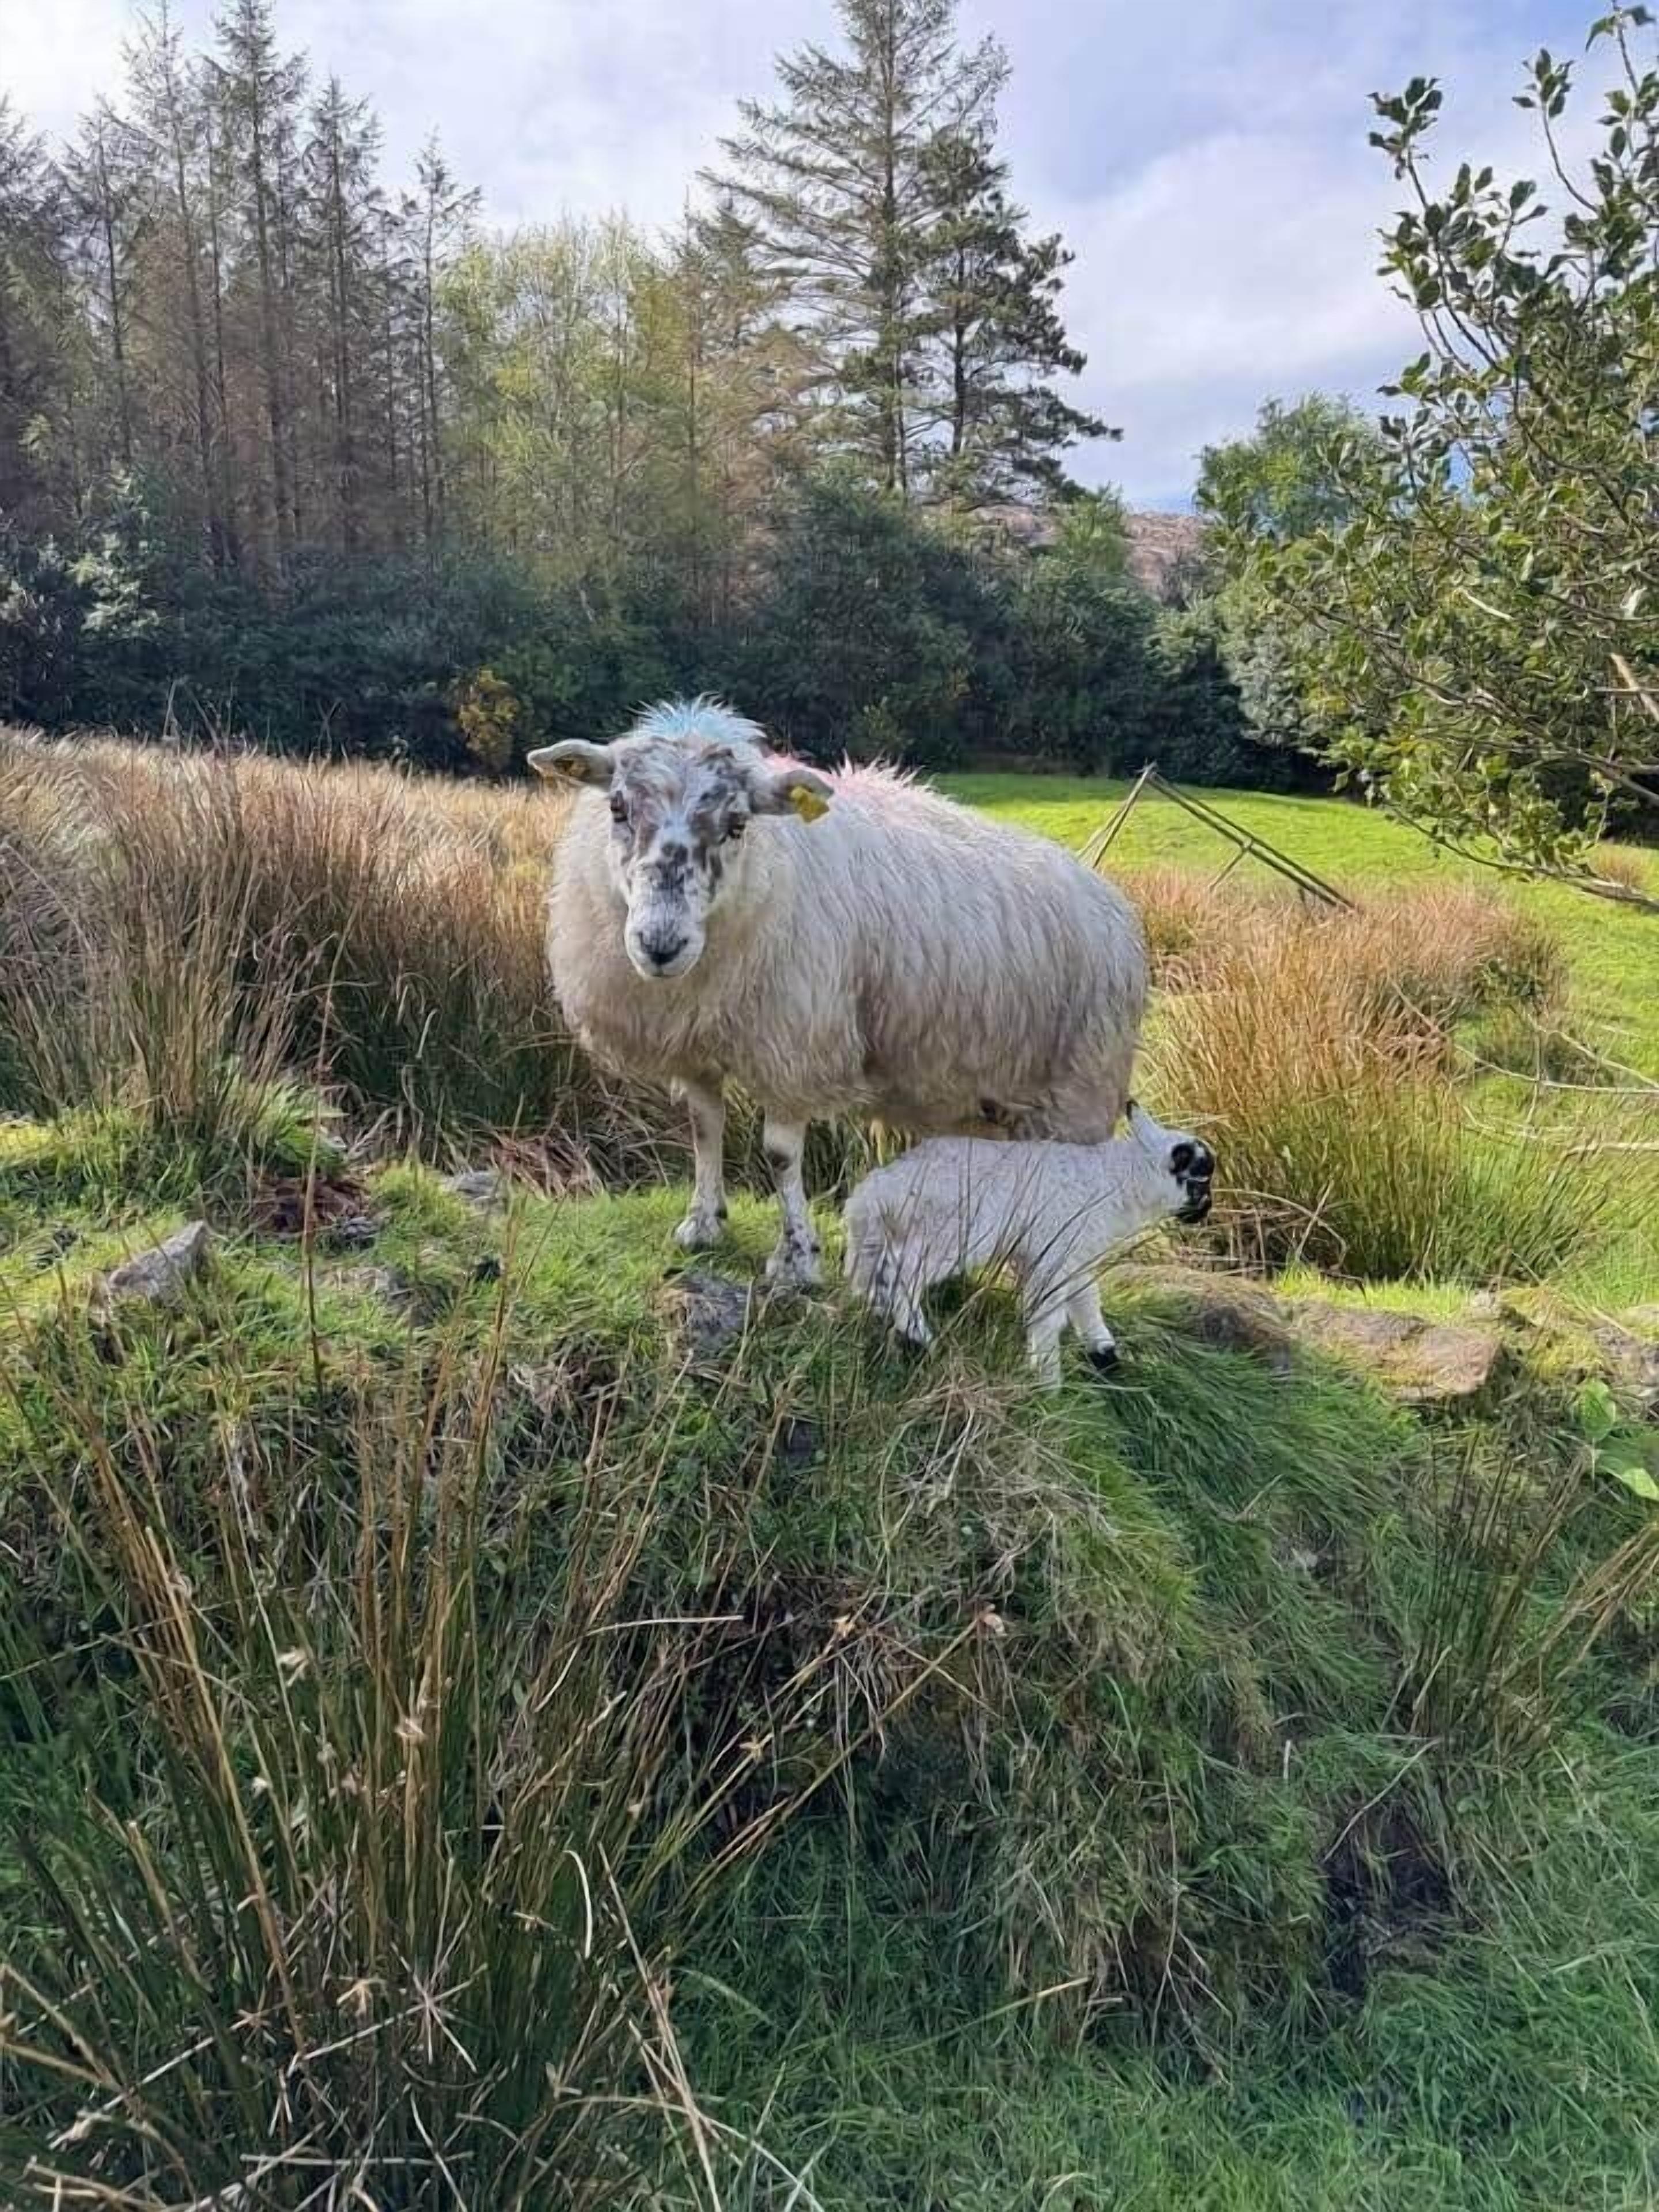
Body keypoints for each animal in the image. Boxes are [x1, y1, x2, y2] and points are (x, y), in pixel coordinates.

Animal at [529, 699, 1147, 1288]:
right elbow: (706, 1127)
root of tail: (1114, 904)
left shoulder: (794, 1045)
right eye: (617, 808)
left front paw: (797, 1260)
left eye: (737, 823)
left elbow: (780, 1156)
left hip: (1080, 1088)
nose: (661, 945)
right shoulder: (694, 1042)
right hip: (991, 1100)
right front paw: (703, 1223)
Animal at [842, 1101, 1215, 1386]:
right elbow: (1049, 1316)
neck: (1118, 1182)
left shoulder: (1073, 1256)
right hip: (950, 1233)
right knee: (901, 1275)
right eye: (1201, 1180)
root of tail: (880, 1190)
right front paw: (1049, 1383)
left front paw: (1105, 1357)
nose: (1206, 1211)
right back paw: (919, 1337)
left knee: (876, 1275)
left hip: (898, 1233)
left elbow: (1087, 1304)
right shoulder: (1056, 1252)